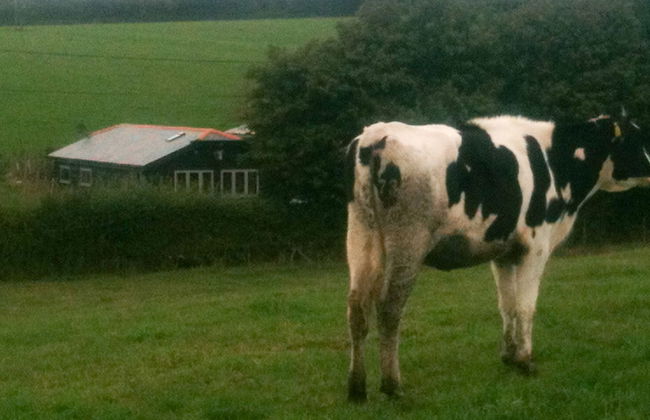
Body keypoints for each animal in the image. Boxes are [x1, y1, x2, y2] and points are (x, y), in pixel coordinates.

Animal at [345, 112, 650, 402]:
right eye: (636, 139)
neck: (555, 161)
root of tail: (375, 135)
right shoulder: (536, 247)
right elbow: (526, 306)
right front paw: (526, 361)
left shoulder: (503, 253)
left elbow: (508, 305)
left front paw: (509, 357)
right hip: (408, 240)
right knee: (389, 308)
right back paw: (392, 386)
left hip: (361, 236)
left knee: (357, 307)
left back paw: (357, 388)